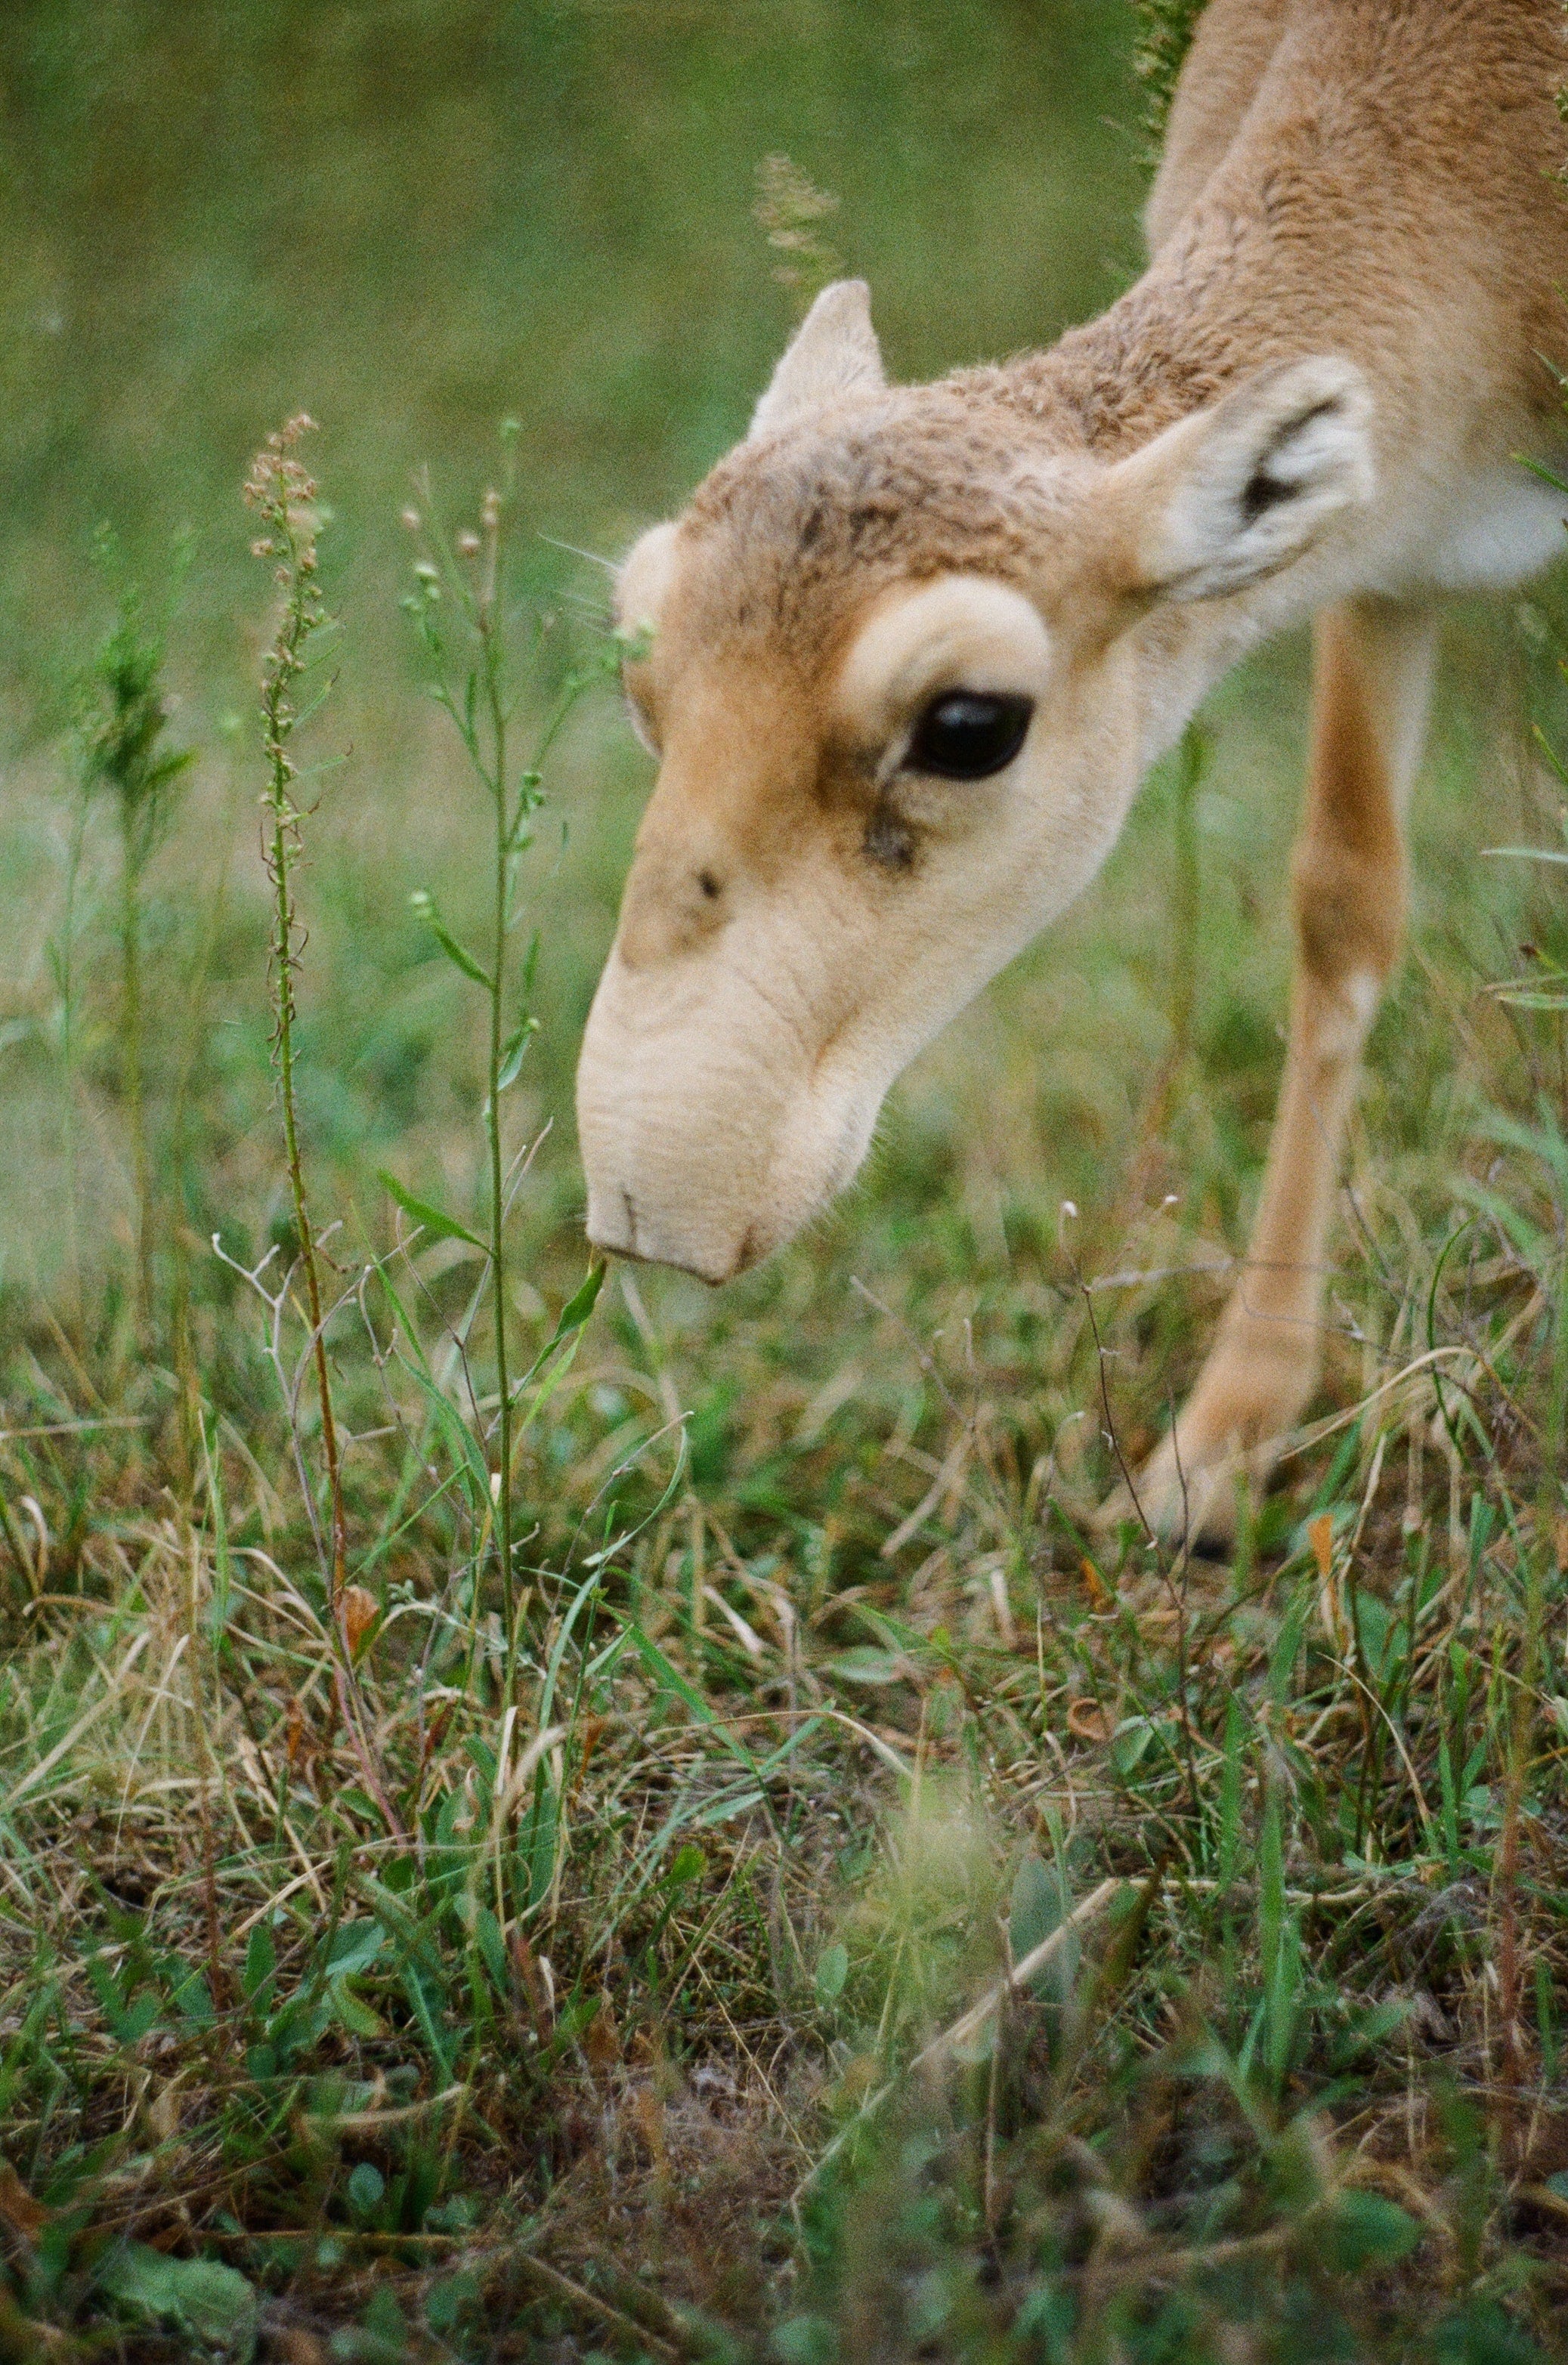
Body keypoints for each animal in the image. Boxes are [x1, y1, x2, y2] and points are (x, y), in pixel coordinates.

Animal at [577, 0, 1568, 1541]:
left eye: (967, 722)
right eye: (641, 668)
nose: (653, 1195)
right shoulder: (1388, 546)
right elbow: (1343, 903)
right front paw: (1222, 1441)